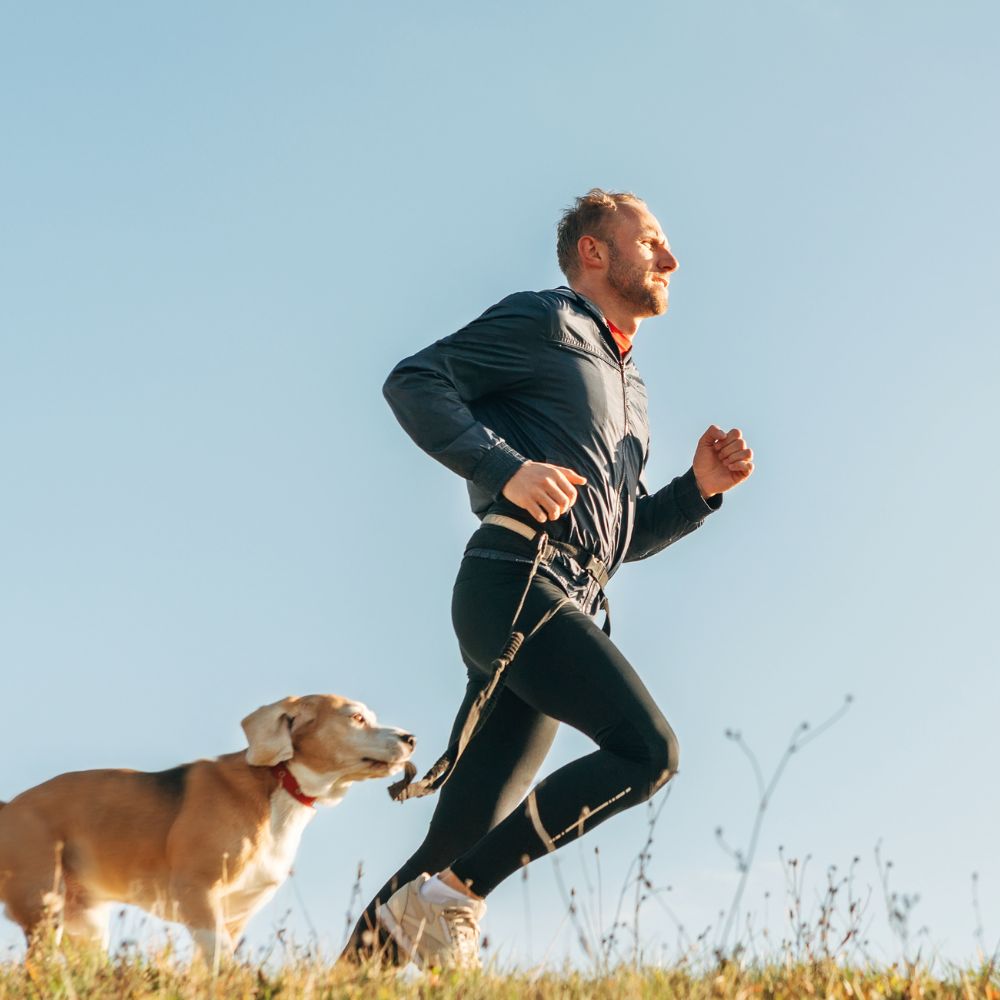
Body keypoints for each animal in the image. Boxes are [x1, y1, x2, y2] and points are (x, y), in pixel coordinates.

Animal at [0, 696, 414, 960]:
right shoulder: (198, 895)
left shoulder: (232, 918)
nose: (410, 738)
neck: (279, 785)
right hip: (45, 911)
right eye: (356, 718)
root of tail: (11, 806)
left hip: (85, 924)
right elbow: (222, 963)